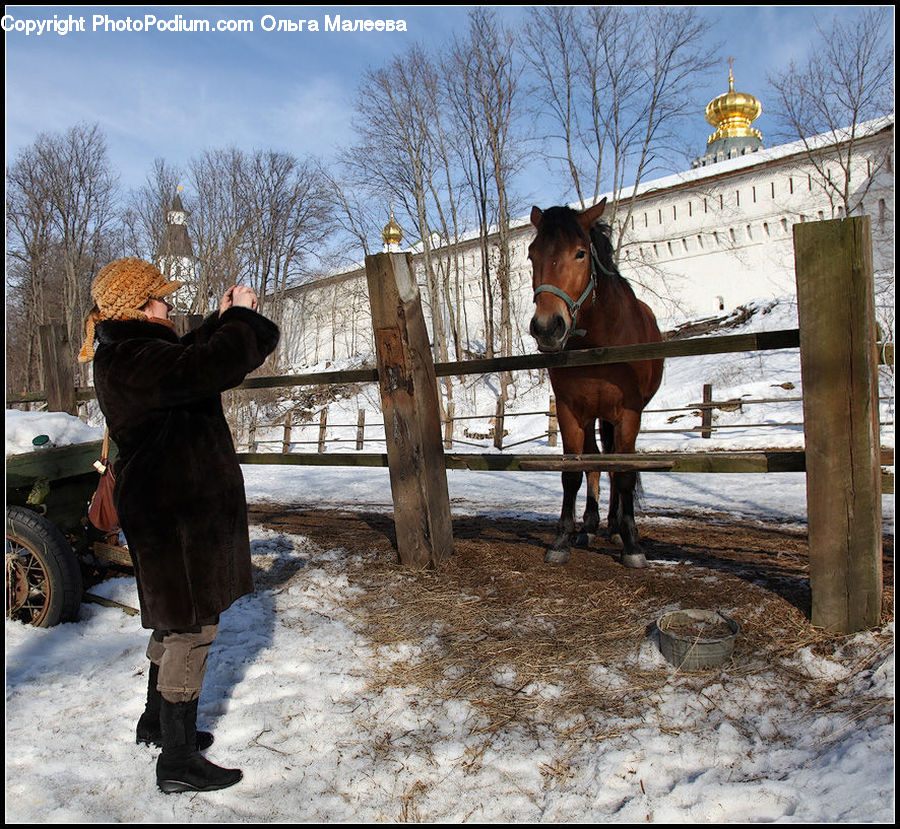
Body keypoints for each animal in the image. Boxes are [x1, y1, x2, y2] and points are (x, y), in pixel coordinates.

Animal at [528, 198, 664, 568]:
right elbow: (574, 472)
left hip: (614, 418)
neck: (600, 342)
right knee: (596, 461)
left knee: (614, 465)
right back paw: (589, 525)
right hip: (594, 417)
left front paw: (632, 544)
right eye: (532, 254)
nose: (547, 327)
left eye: (580, 253)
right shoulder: (570, 412)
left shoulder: (629, 414)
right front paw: (562, 539)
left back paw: (616, 527)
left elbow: (624, 472)